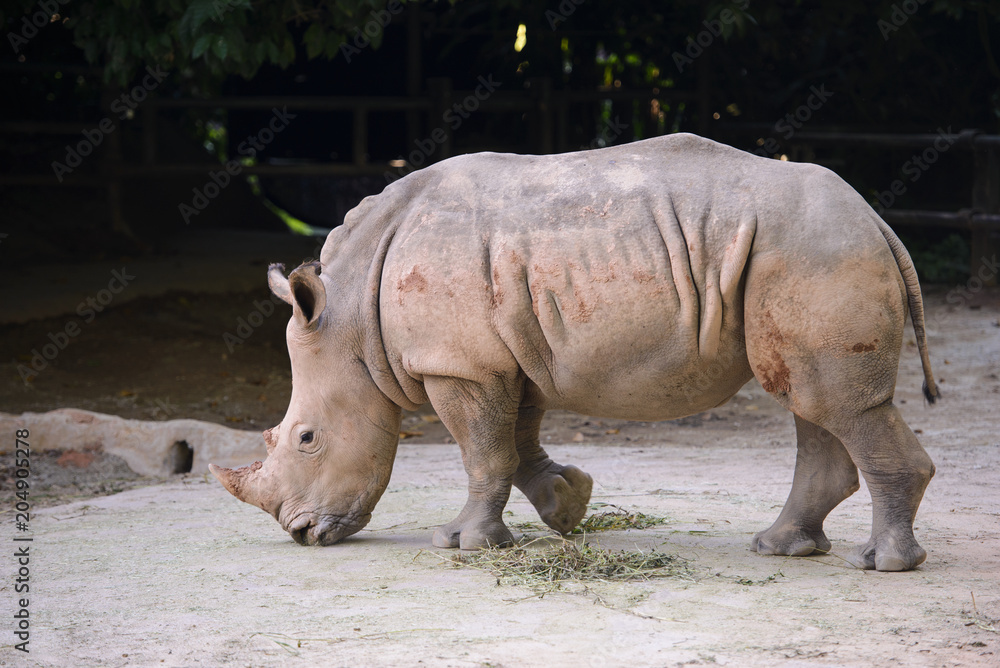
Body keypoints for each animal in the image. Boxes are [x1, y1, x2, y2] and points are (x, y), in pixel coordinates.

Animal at [210, 133, 939, 572]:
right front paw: (568, 505)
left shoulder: (459, 364)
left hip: (816, 250)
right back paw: (781, 548)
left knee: (831, 402)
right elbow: (515, 441)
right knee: (812, 400)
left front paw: (464, 542)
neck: (353, 318)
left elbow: (482, 450)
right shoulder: (510, 356)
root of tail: (877, 220)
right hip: (803, 251)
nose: (301, 534)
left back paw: (881, 563)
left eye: (305, 439)